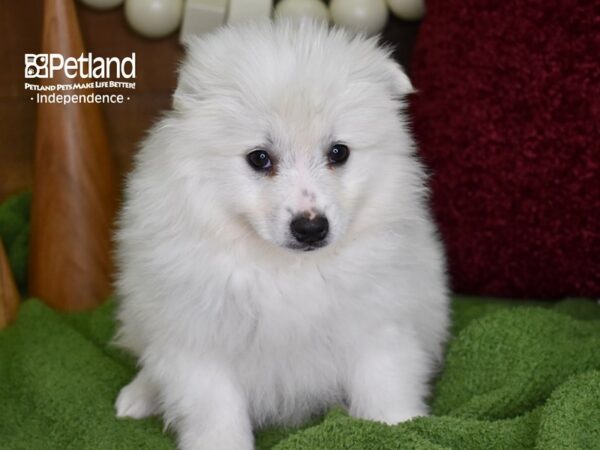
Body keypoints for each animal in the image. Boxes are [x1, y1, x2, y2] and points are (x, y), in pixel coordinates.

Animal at [115, 19, 448, 448]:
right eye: (259, 158)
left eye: (339, 152)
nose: (311, 228)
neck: (286, 268)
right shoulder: (199, 343)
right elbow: (216, 414)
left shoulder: (378, 324)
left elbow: (384, 391)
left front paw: (402, 428)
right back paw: (139, 395)